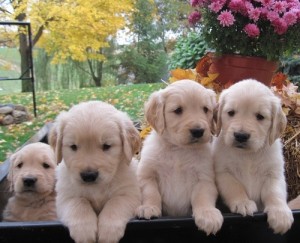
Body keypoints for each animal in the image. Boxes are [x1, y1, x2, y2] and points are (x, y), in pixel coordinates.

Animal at [49, 100, 141, 243]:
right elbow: (79, 202)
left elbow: (115, 202)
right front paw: (84, 231)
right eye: (73, 146)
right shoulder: (65, 196)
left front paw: (108, 231)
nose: (88, 175)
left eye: (107, 146)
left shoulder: (131, 194)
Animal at [136, 79, 223, 235]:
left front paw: (208, 215)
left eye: (205, 109)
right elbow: (150, 192)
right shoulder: (147, 175)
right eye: (177, 110)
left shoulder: (204, 178)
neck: (179, 150)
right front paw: (149, 207)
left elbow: (202, 197)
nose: (198, 131)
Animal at [214, 79, 294, 234]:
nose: (241, 136)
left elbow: (274, 192)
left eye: (260, 117)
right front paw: (243, 202)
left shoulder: (273, 174)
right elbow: (234, 187)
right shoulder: (223, 172)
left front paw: (280, 213)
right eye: (231, 113)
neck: (248, 155)